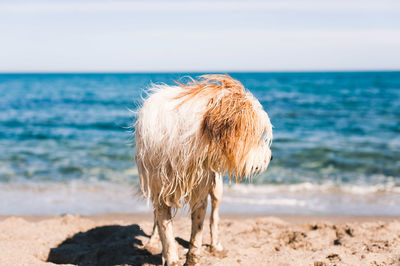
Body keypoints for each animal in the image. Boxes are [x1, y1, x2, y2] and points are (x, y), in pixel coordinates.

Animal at [136, 75, 274, 266]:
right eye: (255, 134)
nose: (271, 157)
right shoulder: (159, 190)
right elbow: (166, 231)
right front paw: (170, 257)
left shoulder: (201, 191)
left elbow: (197, 232)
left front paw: (193, 259)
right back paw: (154, 241)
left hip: (217, 188)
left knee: (214, 217)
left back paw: (215, 245)